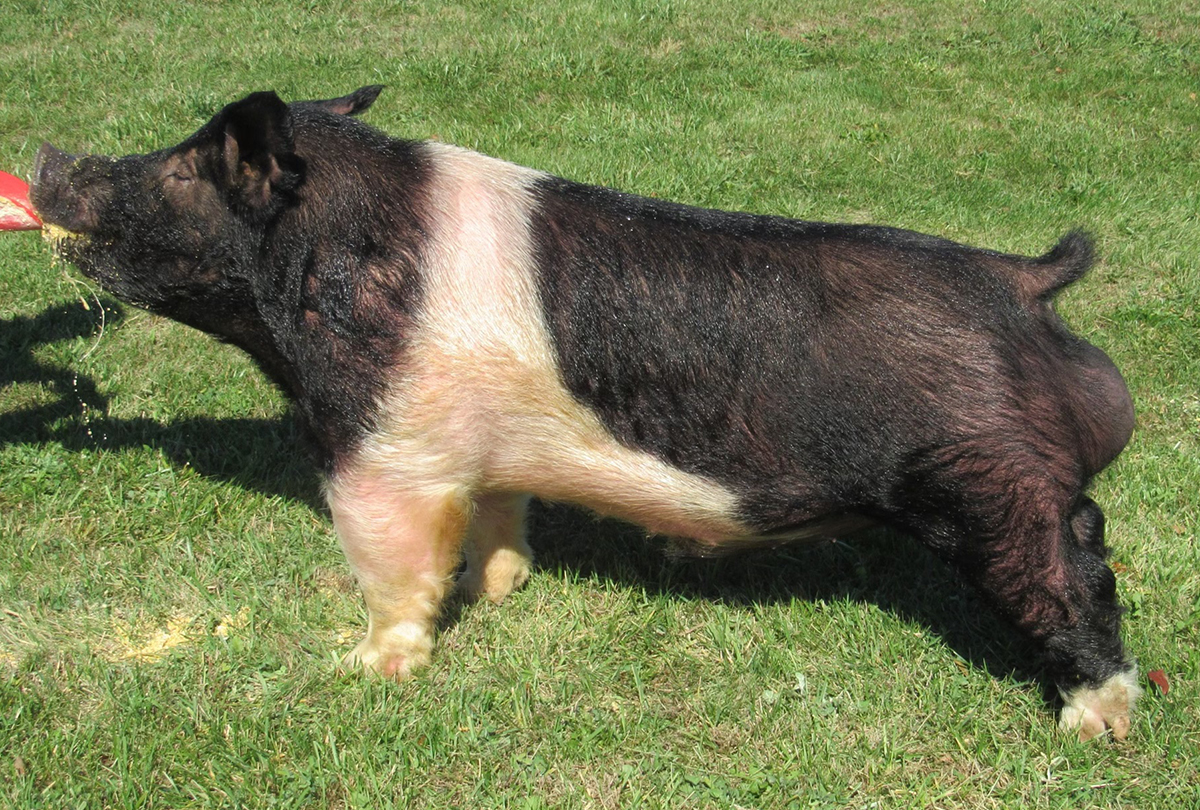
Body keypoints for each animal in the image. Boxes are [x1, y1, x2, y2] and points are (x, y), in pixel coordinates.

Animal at [30, 87, 1139, 740]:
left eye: (184, 166)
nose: (45, 155)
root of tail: (1021, 282)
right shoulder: (478, 457)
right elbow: (497, 521)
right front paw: (500, 588)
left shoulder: (382, 452)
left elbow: (390, 568)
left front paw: (360, 671)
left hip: (996, 486)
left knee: (1077, 573)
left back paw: (1095, 725)